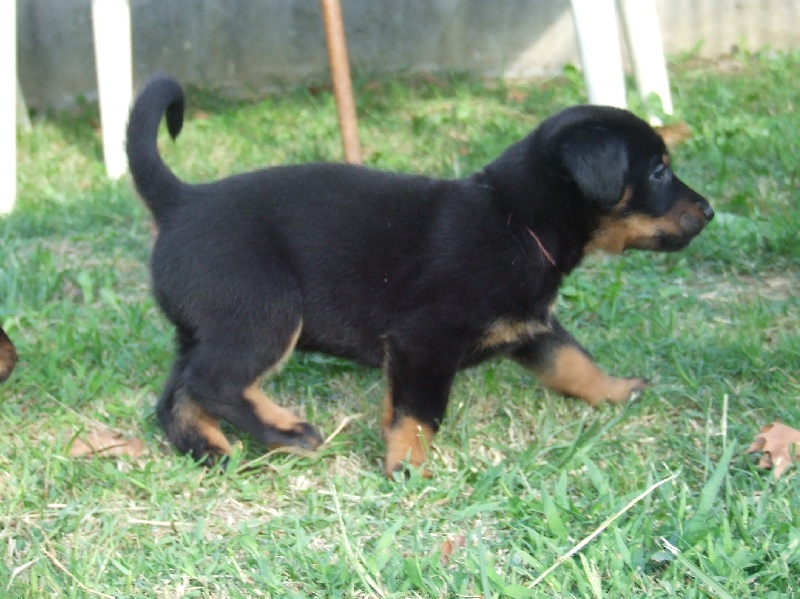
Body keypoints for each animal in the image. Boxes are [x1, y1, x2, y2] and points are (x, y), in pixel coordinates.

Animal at [128, 77, 716, 476]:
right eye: (658, 170)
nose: (709, 211)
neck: (517, 219)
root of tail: (181, 201)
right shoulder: (426, 340)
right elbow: (421, 412)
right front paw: (408, 464)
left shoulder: (530, 327)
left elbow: (574, 363)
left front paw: (617, 391)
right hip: (264, 314)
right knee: (215, 380)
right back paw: (286, 431)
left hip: (206, 328)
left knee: (178, 393)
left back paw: (209, 449)